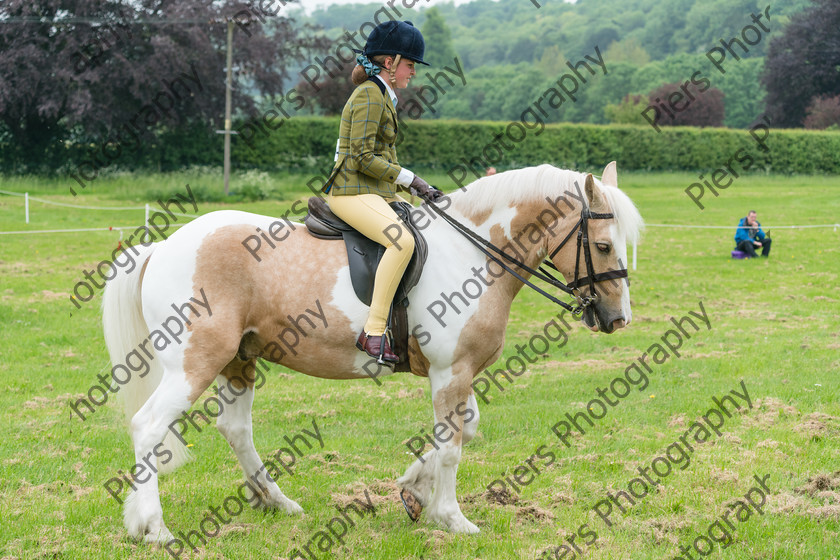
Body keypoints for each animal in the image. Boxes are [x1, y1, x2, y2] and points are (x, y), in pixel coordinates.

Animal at [103, 161, 644, 544]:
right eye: (601, 246)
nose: (617, 318)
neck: (474, 252)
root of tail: (163, 246)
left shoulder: (460, 372)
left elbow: (463, 431)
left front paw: (414, 491)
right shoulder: (451, 371)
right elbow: (452, 445)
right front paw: (452, 518)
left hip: (239, 360)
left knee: (235, 430)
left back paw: (276, 502)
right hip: (192, 364)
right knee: (149, 427)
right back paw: (154, 527)